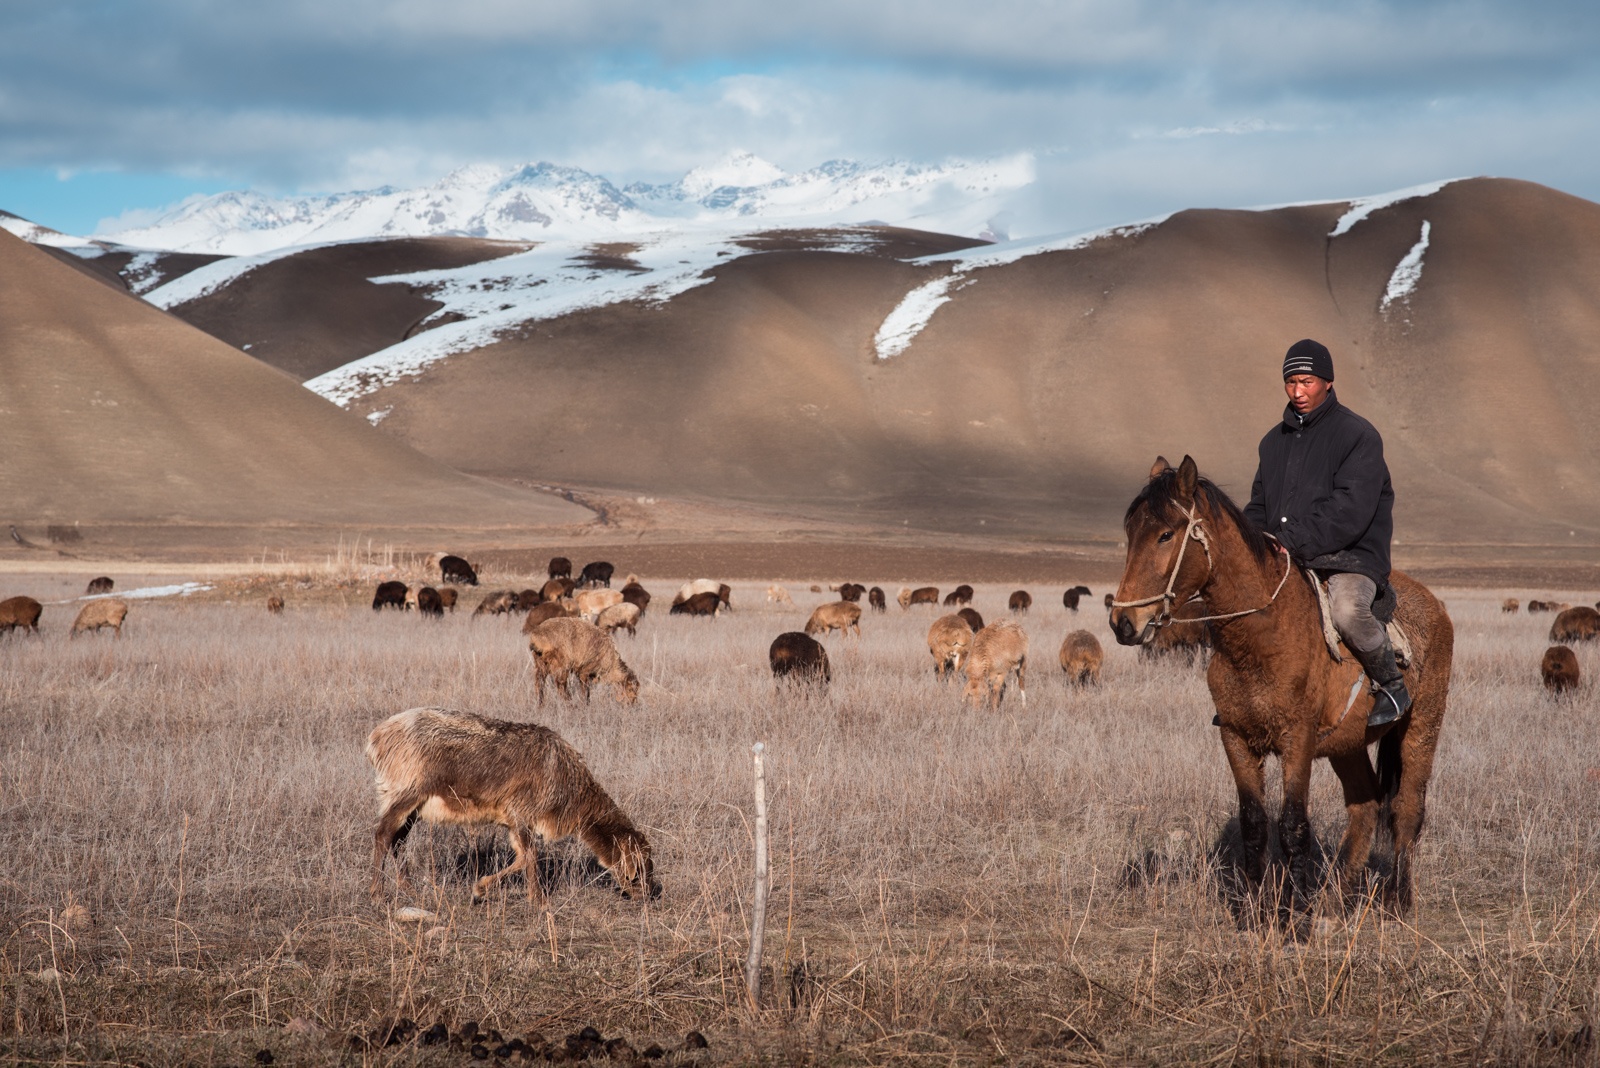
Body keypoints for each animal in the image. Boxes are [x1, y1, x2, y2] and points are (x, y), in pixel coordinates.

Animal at [366, 703, 656, 908]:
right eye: (640, 867)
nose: (647, 894)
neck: (571, 798)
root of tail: (376, 739)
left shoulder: (513, 820)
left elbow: (521, 856)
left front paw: (480, 889)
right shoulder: (521, 812)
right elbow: (531, 855)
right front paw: (538, 900)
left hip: (413, 807)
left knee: (398, 841)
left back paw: (409, 888)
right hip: (405, 791)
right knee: (382, 835)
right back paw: (377, 894)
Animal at [1113, 454, 1452, 914]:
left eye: (1166, 534)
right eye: (1131, 533)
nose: (1123, 622)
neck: (1260, 637)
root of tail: (1435, 606)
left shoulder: (1298, 740)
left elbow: (1293, 826)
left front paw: (1294, 914)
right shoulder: (1237, 738)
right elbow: (1254, 823)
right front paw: (1253, 912)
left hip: (1420, 728)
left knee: (1406, 810)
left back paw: (1399, 900)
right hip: (1347, 744)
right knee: (1364, 805)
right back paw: (1335, 899)